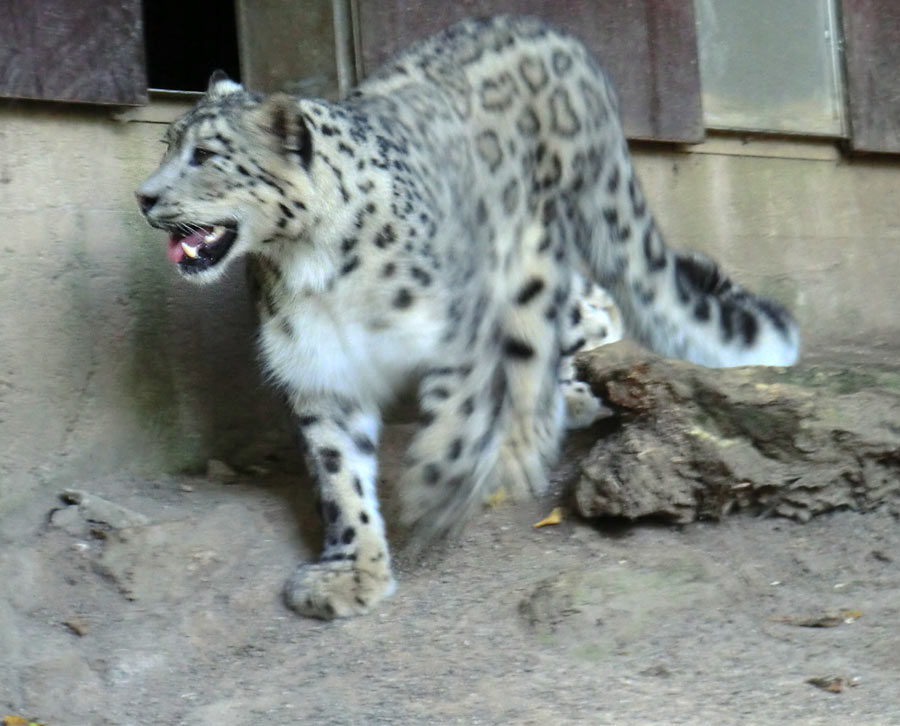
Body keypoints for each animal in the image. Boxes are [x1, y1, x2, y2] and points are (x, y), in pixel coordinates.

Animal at [135, 15, 800, 620]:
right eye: (166, 145)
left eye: (205, 155)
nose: (143, 197)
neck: (313, 267)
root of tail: (558, 36)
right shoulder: (320, 369)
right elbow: (340, 474)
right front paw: (352, 571)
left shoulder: (460, 332)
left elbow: (460, 418)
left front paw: (436, 496)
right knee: (589, 305)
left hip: (530, 258)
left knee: (560, 329)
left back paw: (523, 448)